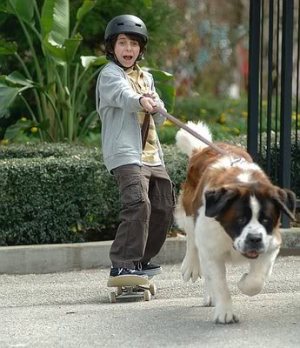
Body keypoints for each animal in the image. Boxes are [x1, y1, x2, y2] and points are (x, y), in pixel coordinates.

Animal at [175, 121, 296, 324]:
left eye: (266, 220)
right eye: (240, 219)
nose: (254, 238)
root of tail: (203, 149)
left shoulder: (272, 243)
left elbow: (257, 279)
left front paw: (244, 282)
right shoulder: (211, 247)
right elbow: (219, 283)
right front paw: (225, 312)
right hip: (190, 209)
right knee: (192, 239)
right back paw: (192, 267)